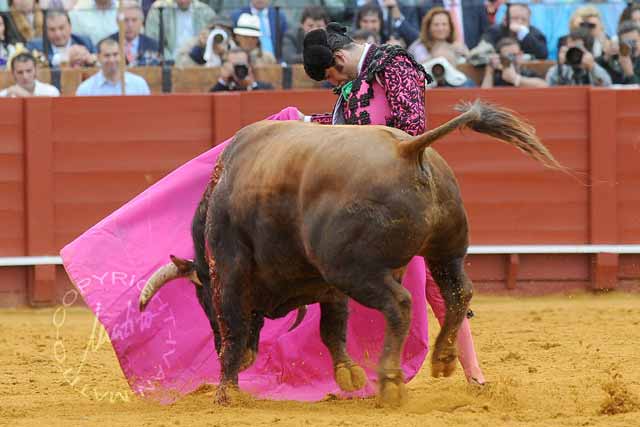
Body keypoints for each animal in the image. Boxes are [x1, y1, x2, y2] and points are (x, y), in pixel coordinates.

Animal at [139, 101, 560, 408]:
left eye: (202, 300)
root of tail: (407, 149)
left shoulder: (230, 270)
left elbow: (234, 327)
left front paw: (226, 391)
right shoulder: (325, 285)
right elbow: (332, 327)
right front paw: (348, 373)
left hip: (354, 270)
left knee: (401, 303)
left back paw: (390, 380)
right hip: (445, 252)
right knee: (458, 293)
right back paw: (442, 358)